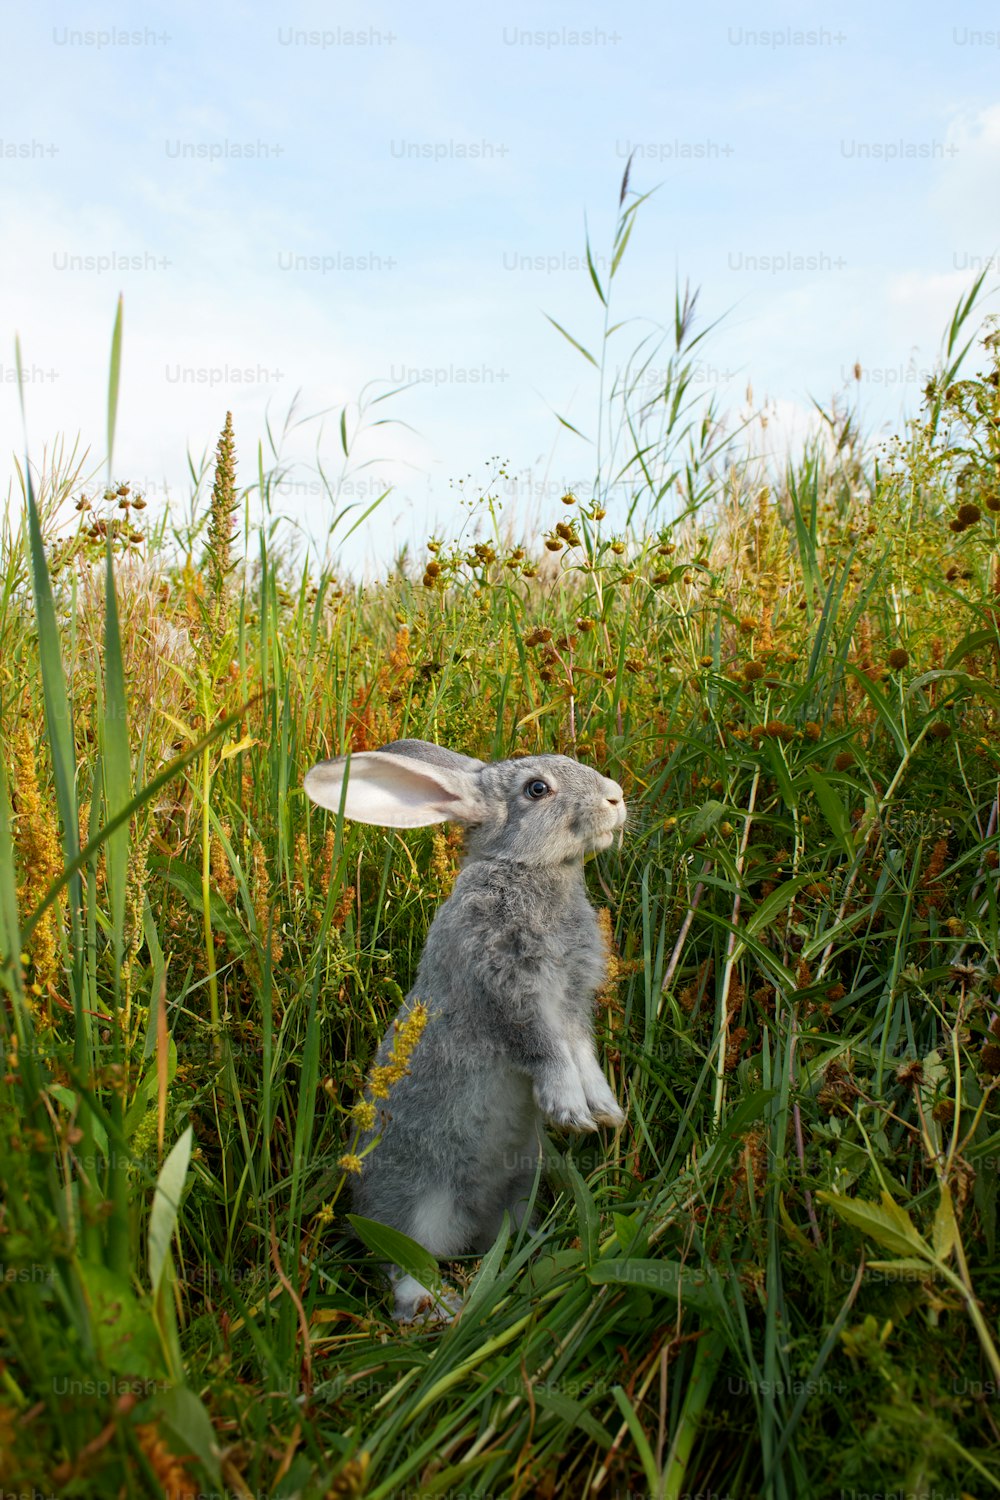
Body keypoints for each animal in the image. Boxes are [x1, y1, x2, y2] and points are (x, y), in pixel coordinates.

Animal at [305, 744, 626, 1320]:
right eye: (537, 789)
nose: (615, 797)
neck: (527, 871)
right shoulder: (510, 995)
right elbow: (547, 1053)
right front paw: (569, 1112)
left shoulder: (573, 1007)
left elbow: (583, 1056)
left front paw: (605, 1113)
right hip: (414, 1208)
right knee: (402, 1265)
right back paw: (441, 1307)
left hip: (519, 1188)